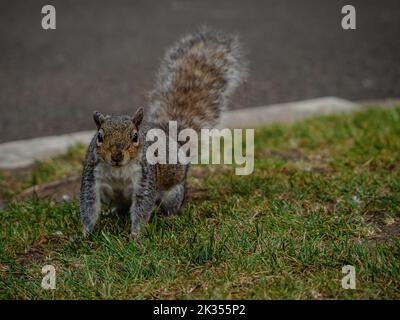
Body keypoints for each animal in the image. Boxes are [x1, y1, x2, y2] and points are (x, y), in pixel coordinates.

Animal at [79, 26, 247, 238]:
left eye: (135, 137)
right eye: (100, 136)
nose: (116, 156)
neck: (118, 170)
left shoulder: (145, 178)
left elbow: (142, 206)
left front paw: (135, 236)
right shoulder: (92, 176)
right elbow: (89, 205)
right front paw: (84, 234)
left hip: (174, 192)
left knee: (169, 205)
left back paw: (170, 218)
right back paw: (114, 212)